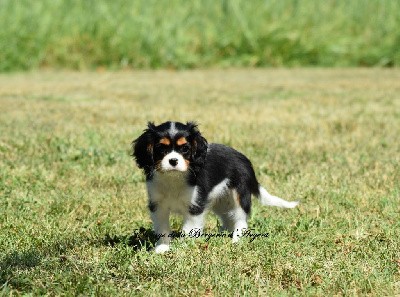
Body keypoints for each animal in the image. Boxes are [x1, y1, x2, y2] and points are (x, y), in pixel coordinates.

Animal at [133, 120, 298, 252]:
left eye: (185, 149)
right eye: (161, 148)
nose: (173, 161)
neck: (174, 178)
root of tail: (245, 160)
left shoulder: (195, 207)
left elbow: (188, 229)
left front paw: (183, 247)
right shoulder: (158, 206)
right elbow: (163, 228)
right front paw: (162, 248)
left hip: (238, 195)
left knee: (241, 220)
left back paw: (236, 240)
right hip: (221, 201)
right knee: (227, 218)